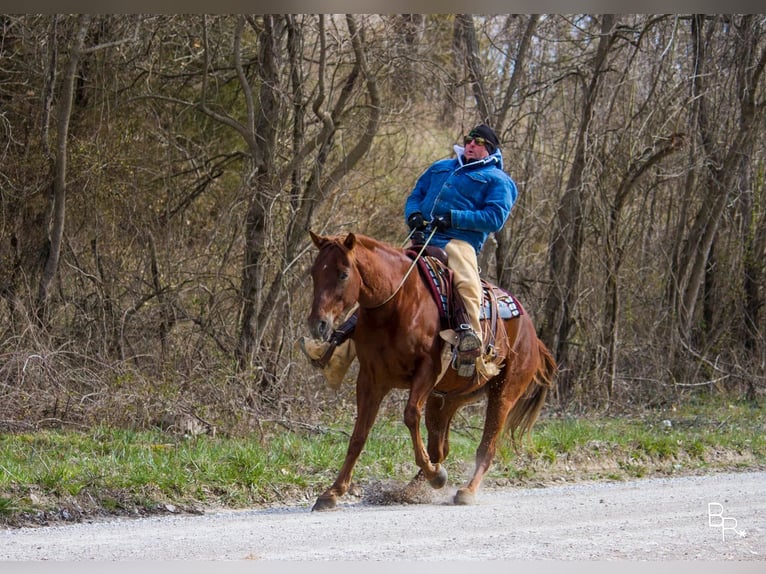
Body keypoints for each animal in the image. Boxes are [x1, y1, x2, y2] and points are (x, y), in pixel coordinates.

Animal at [306, 232, 560, 510]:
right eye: (314, 272)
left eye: (343, 274)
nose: (318, 324)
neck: (396, 304)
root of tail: (533, 336)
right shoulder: (370, 380)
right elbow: (359, 435)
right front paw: (332, 492)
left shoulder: (426, 371)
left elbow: (409, 415)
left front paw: (436, 476)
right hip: (446, 399)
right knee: (440, 447)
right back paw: (413, 488)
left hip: (503, 394)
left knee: (487, 445)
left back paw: (465, 490)